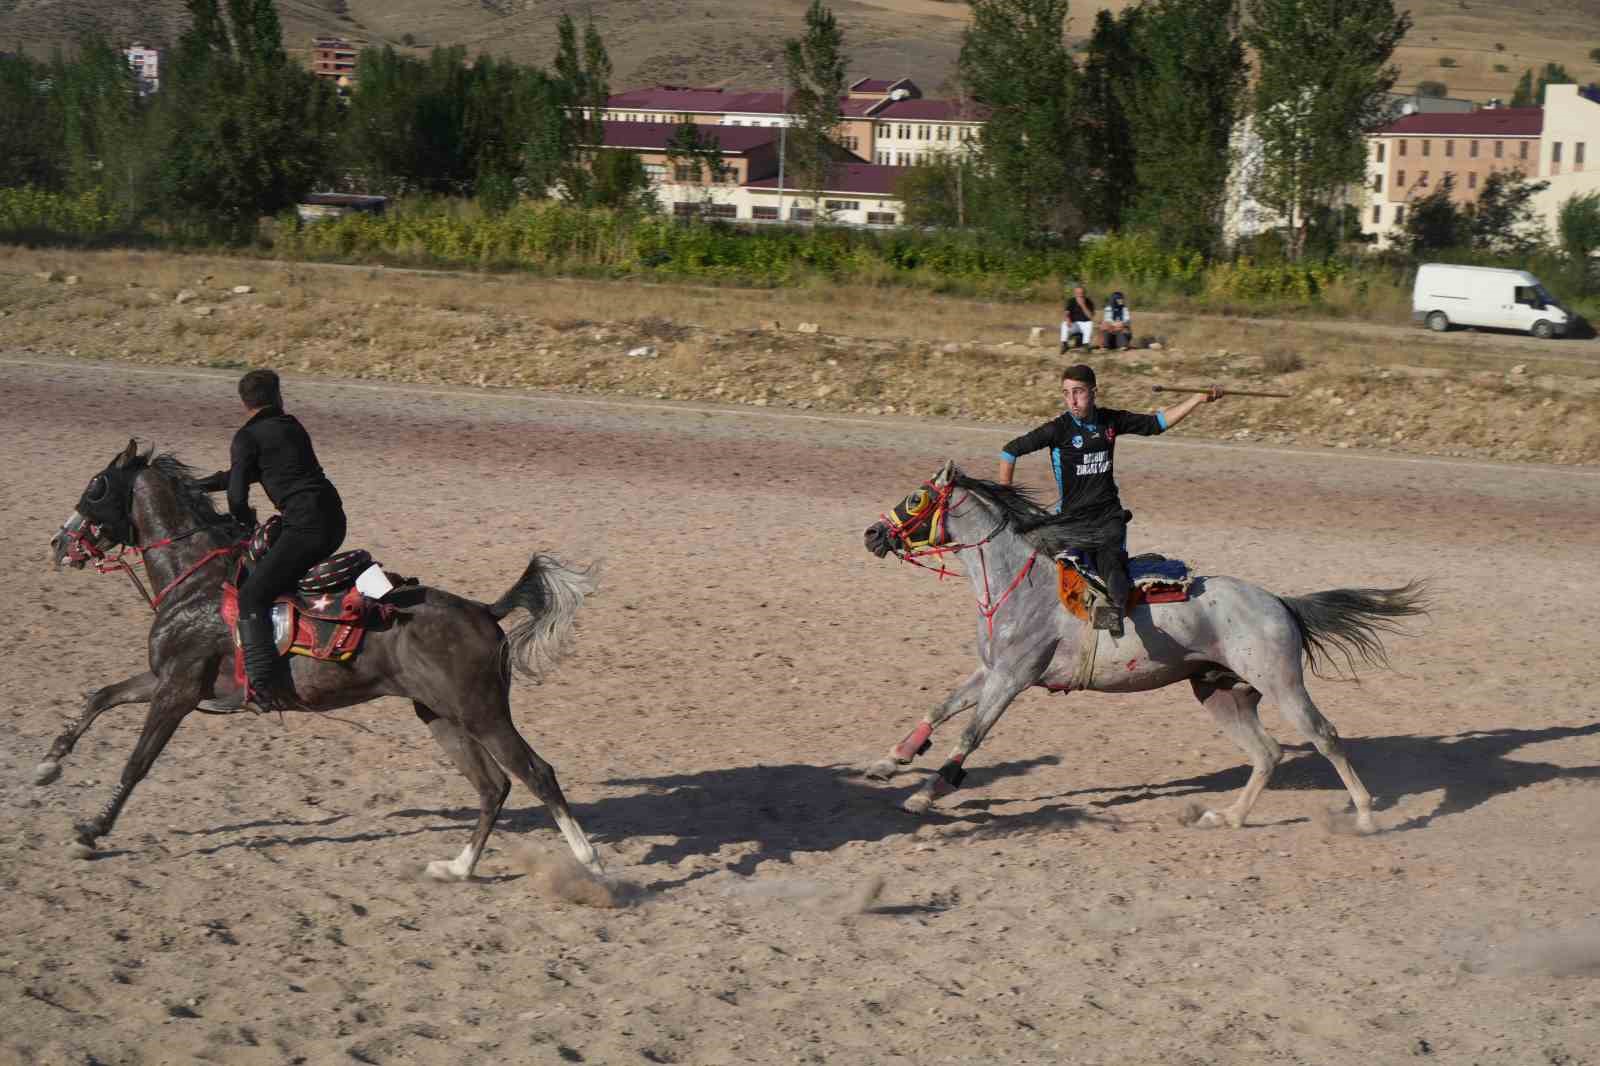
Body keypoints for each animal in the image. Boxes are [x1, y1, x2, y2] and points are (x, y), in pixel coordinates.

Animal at [45, 438, 604, 877]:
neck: (197, 581)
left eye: (96, 485)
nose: (57, 543)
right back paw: (457, 867)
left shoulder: (178, 691)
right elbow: (101, 697)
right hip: (442, 717)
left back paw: (591, 863)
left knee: (537, 773)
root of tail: (485, 610)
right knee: (493, 787)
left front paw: (91, 830)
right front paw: (49, 763)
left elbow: (137, 762)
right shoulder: (164, 678)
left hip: (483, 713)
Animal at [864, 457, 1427, 832]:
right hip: (1221, 693)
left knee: (1323, 736)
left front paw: (924, 795)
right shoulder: (989, 670)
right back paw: (1227, 817)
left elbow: (970, 734)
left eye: (915, 498)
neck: (1020, 584)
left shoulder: (1012, 678)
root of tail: (1280, 603)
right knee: (1267, 754)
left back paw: (1365, 816)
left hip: (1282, 684)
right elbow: (940, 709)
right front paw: (890, 761)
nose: (872, 534)